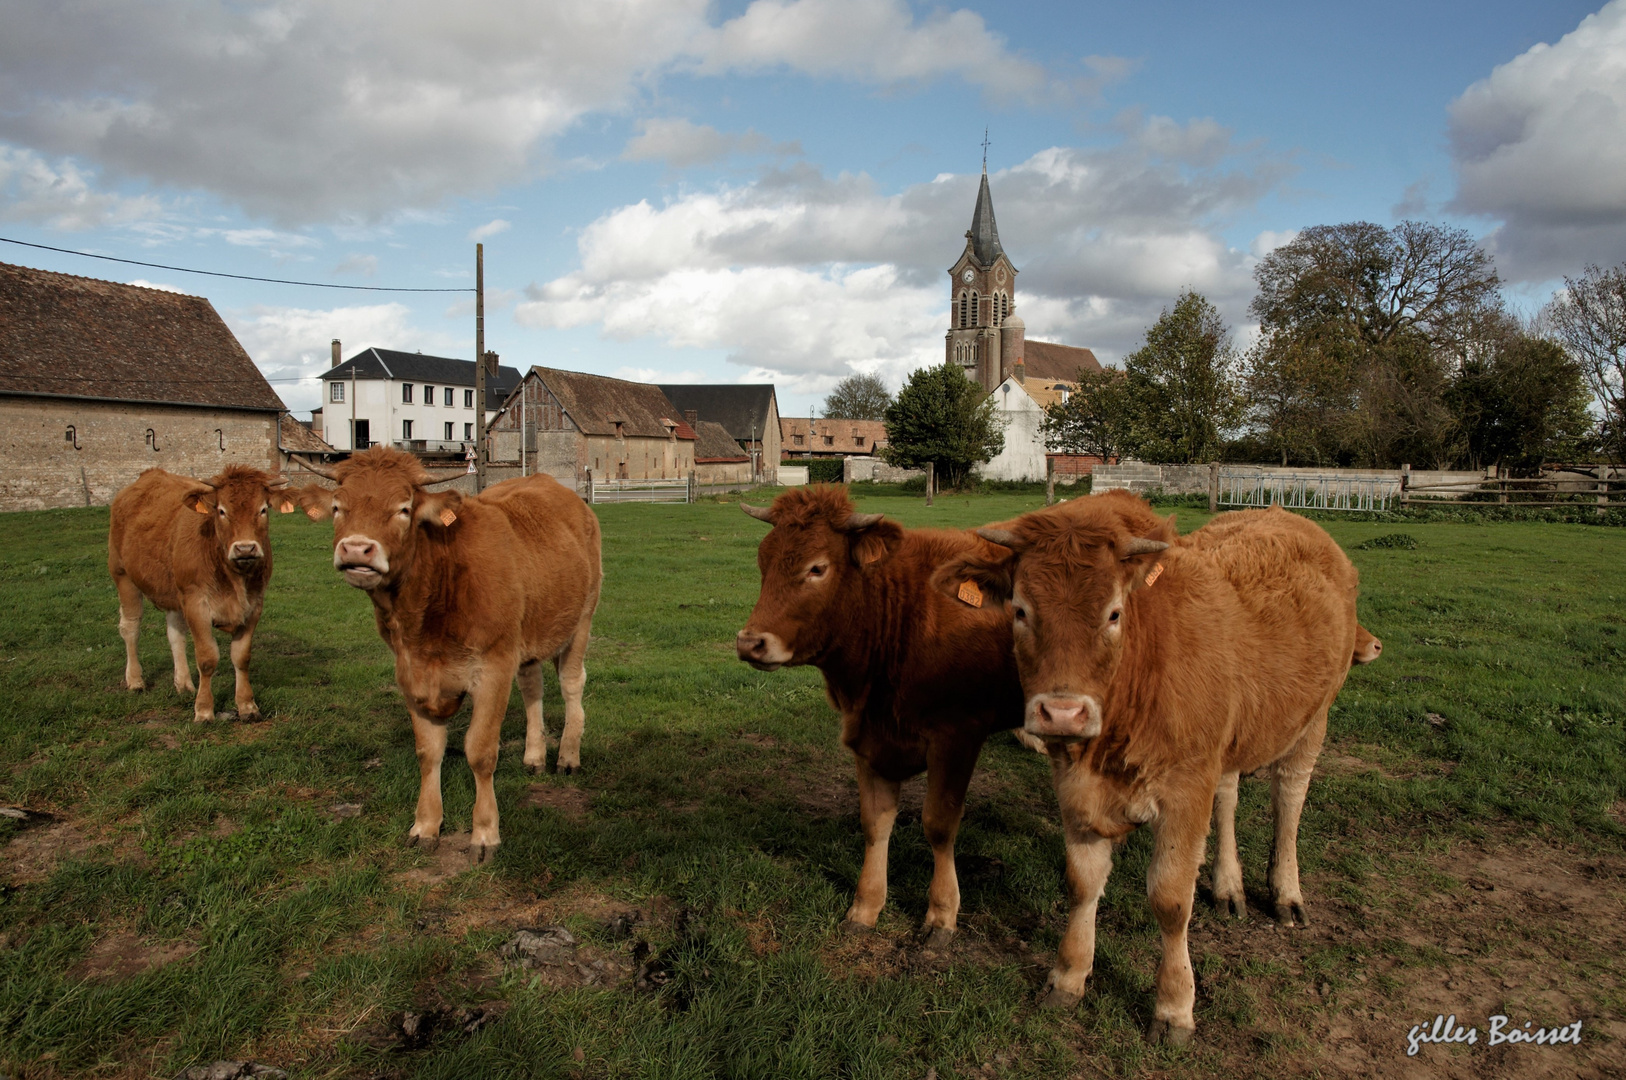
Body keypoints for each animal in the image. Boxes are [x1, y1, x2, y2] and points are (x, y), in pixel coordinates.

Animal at [108, 468, 295, 722]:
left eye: (263, 509)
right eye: (221, 510)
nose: (245, 548)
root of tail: (149, 474)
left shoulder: (254, 605)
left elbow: (241, 657)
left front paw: (247, 705)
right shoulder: (196, 604)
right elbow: (207, 658)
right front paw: (204, 710)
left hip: (174, 593)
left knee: (175, 634)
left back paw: (184, 684)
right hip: (123, 575)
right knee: (130, 627)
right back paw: (136, 680)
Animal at [292, 442, 598, 865]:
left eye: (404, 509)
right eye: (338, 507)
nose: (356, 549)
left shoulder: (493, 668)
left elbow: (481, 752)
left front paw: (485, 833)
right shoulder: (411, 673)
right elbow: (428, 752)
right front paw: (425, 825)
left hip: (580, 620)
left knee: (571, 684)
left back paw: (567, 756)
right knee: (532, 686)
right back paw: (535, 755)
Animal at [741, 484, 1027, 943]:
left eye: (817, 568)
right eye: (763, 561)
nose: (749, 643)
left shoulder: (958, 736)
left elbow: (939, 823)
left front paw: (942, 914)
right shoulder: (869, 738)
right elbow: (875, 824)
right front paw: (866, 906)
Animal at [943, 494, 1372, 1040]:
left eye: (1113, 613)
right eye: (1020, 610)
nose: (1062, 713)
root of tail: (1281, 513)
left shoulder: (1185, 791)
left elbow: (1170, 900)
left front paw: (1174, 1006)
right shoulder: (1076, 786)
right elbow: (1082, 882)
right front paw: (1069, 975)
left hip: (1313, 719)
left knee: (1290, 798)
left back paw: (1286, 894)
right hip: (1227, 743)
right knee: (1228, 796)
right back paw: (1228, 886)